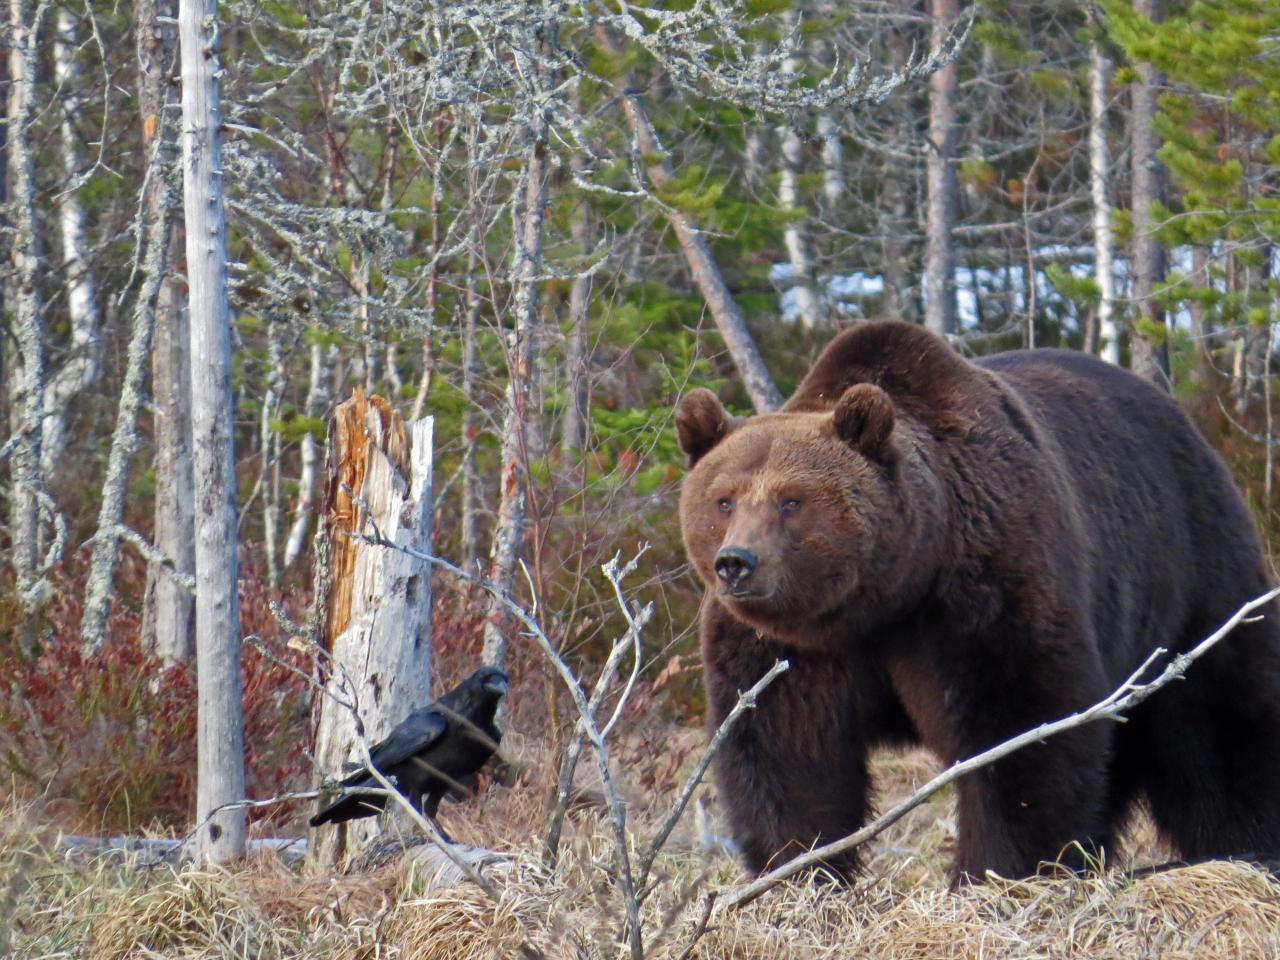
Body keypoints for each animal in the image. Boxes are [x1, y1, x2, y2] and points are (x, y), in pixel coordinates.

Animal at [680, 323, 1280, 885]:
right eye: (723, 500)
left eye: (791, 501)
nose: (736, 562)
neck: (885, 594)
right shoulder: (787, 648)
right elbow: (785, 749)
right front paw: (800, 869)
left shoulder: (981, 590)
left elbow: (1017, 731)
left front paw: (994, 870)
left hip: (1187, 572)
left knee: (1219, 722)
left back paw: (1244, 848)